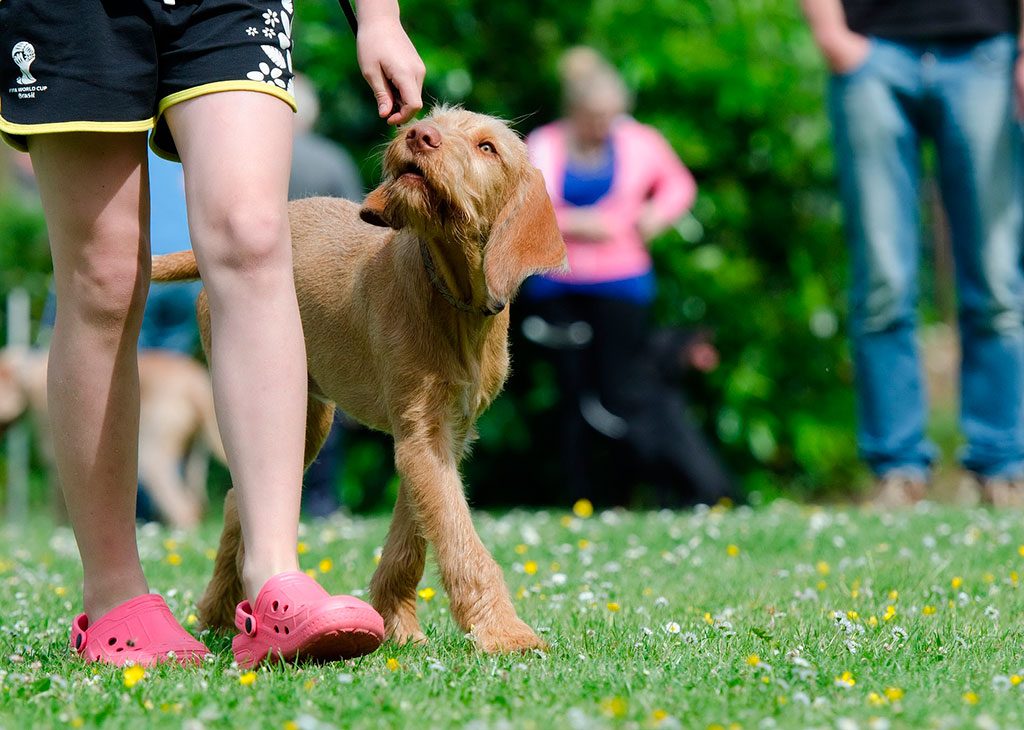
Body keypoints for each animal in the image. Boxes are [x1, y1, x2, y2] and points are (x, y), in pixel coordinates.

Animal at [0, 344, 224, 528]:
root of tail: (194, 384)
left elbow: (59, 505)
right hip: (194, 457)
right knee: (194, 503)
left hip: (151, 457)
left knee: (182, 508)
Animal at [151, 106, 569, 651]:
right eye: (435, 120)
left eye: (487, 148)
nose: (418, 134)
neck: (453, 298)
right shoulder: (421, 434)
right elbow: (460, 537)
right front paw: (504, 631)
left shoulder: (441, 437)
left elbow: (413, 536)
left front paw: (397, 624)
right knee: (235, 501)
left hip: (306, 419)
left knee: (235, 502)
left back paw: (220, 611)